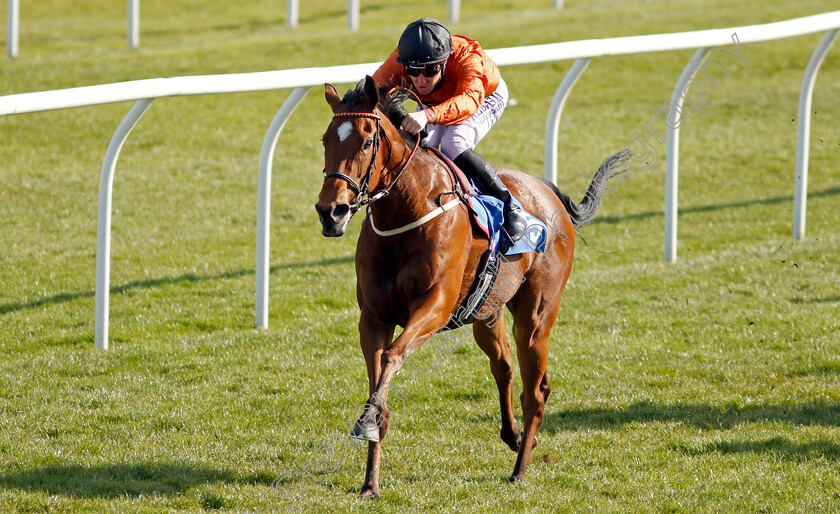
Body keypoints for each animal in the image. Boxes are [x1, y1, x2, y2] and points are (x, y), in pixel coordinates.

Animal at [316, 76, 632, 496]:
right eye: (325, 140)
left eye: (367, 141)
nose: (330, 212)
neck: (408, 210)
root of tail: (547, 192)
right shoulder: (373, 317)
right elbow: (377, 376)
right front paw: (370, 479)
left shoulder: (434, 306)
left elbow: (393, 357)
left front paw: (368, 424)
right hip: (488, 313)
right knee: (506, 368)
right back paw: (516, 436)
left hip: (536, 315)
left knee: (535, 388)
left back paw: (520, 468)